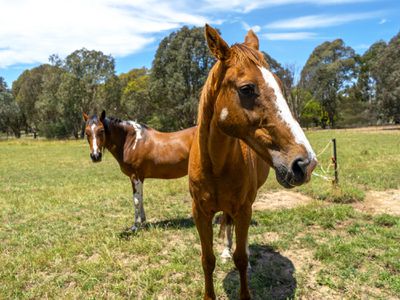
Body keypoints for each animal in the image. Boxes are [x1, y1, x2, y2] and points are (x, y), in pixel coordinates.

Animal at [189, 25, 318, 300]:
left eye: (279, 85)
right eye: (247, 88)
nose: (305, 163)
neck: (215, 165)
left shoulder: (243, 208)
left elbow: (241, 258)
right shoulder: (200, 213)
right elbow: (207, 259)